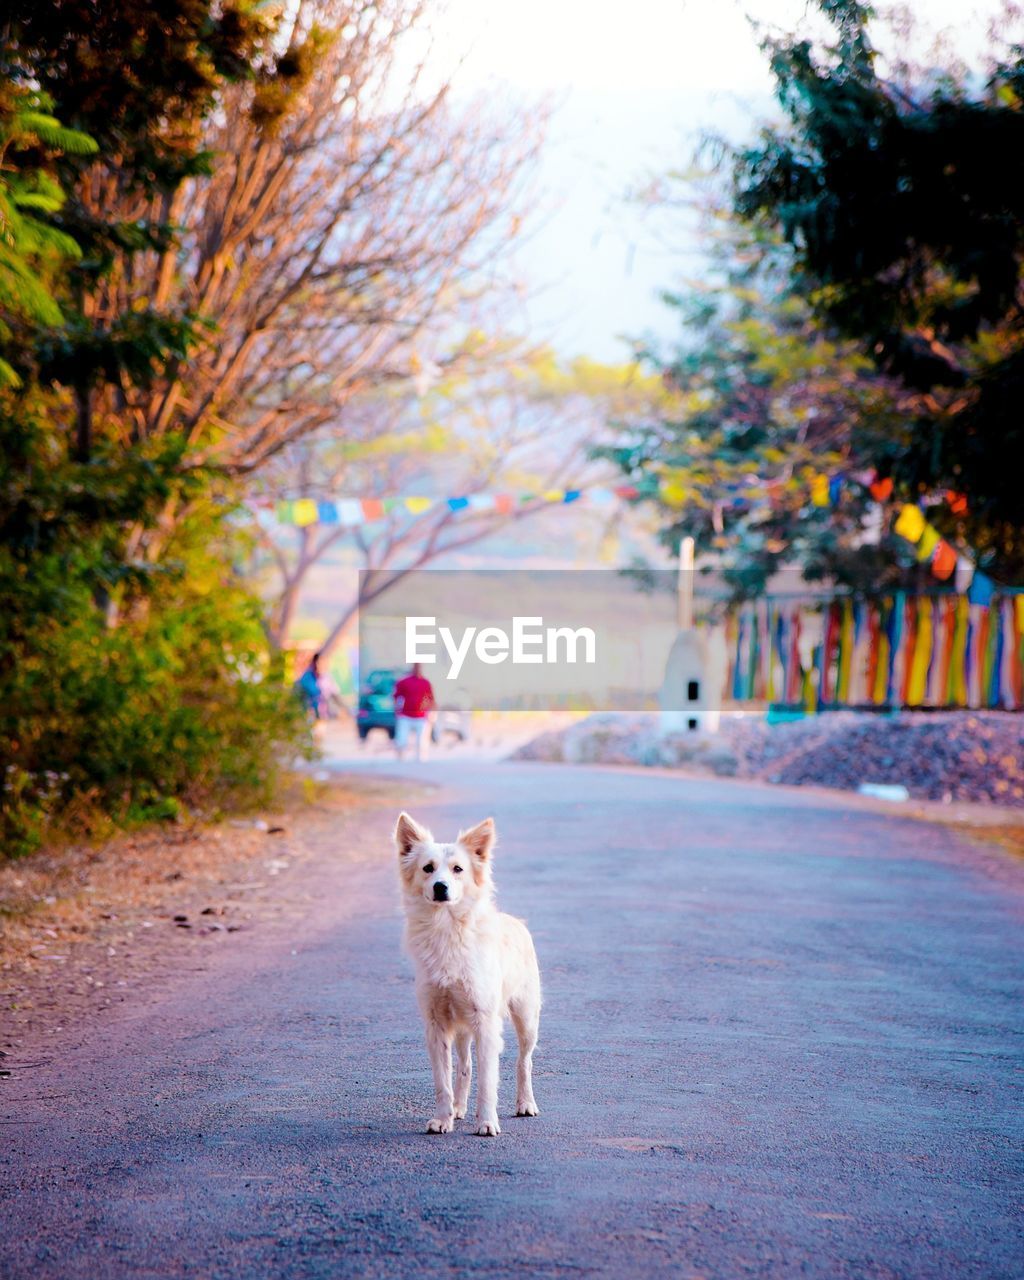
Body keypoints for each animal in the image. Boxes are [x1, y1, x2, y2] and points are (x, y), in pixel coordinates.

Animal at [391, 814, 540, 1136]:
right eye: (428, 868)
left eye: (458, 869)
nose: (440, 887)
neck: (447, 927)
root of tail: (515, 921)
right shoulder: (436, 1024)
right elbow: (443, 1081)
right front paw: (443, 1118)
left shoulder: (485, 1022)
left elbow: (488, 1082)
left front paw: (487, 1122)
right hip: (461, 1028)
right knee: (465, 1066)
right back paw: (459, 1108)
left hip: (526, 1019)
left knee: (524, 1062)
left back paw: (525, 1103)